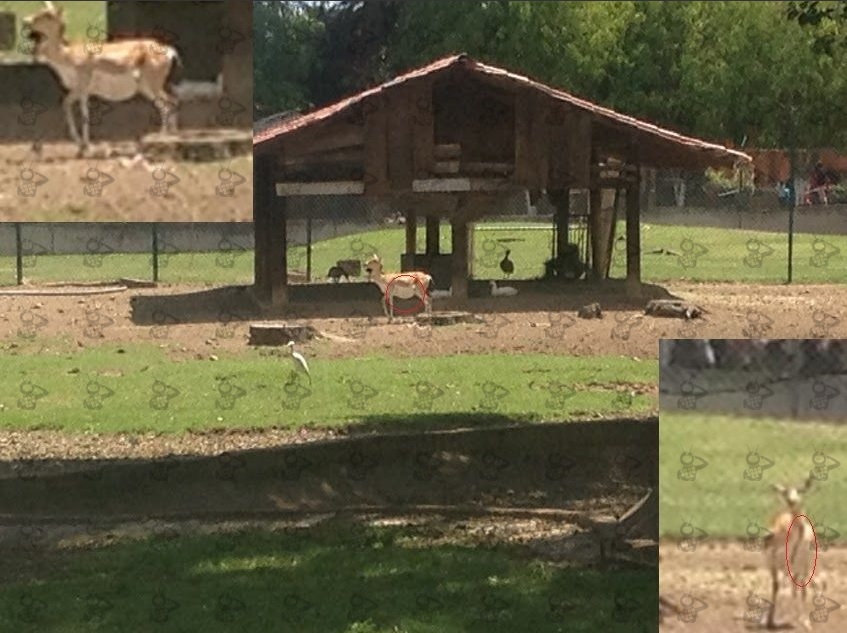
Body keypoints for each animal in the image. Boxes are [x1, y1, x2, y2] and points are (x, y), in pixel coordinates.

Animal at [23, 0, 181, 156]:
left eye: (48, 15)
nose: (26, 21)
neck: (68, 55)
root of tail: (169, 50)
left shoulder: (82, 88)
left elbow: (81, 111)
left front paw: (86, 146)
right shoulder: (80, 91)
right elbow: (69, 106)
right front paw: (81, 145)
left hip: (154, 86)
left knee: (169, 102)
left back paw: (162, 137)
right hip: (146, 88)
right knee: (167, 103)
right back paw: (168, 137)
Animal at [764, 474, 824, 628]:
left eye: (799, 491)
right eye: (785, 492)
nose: (792, 501)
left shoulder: (805, 564)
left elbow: (803, 590)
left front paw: (806, 622)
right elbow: (793, 589)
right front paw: (800, 621)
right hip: (773, 562)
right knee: (776, 585)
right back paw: (770, 621)